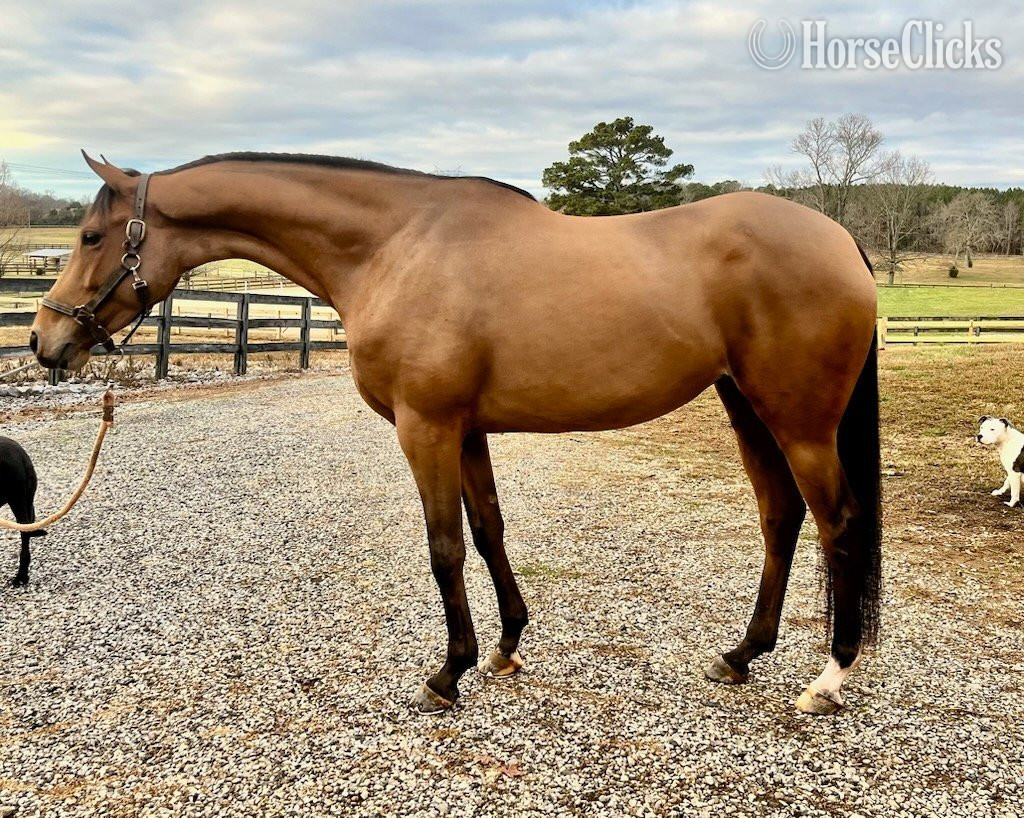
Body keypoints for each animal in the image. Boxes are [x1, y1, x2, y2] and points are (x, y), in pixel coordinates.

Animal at [30, 152, 881, 716]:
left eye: (93, 236)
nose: (45, 342)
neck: (394, 247)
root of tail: (840, 239)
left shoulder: (427, 428)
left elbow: (443, 547)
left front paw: (449, 673)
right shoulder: (468, 432)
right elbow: (488, 530)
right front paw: (505, 647)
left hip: (800, 423)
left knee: (836, 523)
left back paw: (828, 679)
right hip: (748, 409)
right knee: (781, 518)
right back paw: (741, 656)